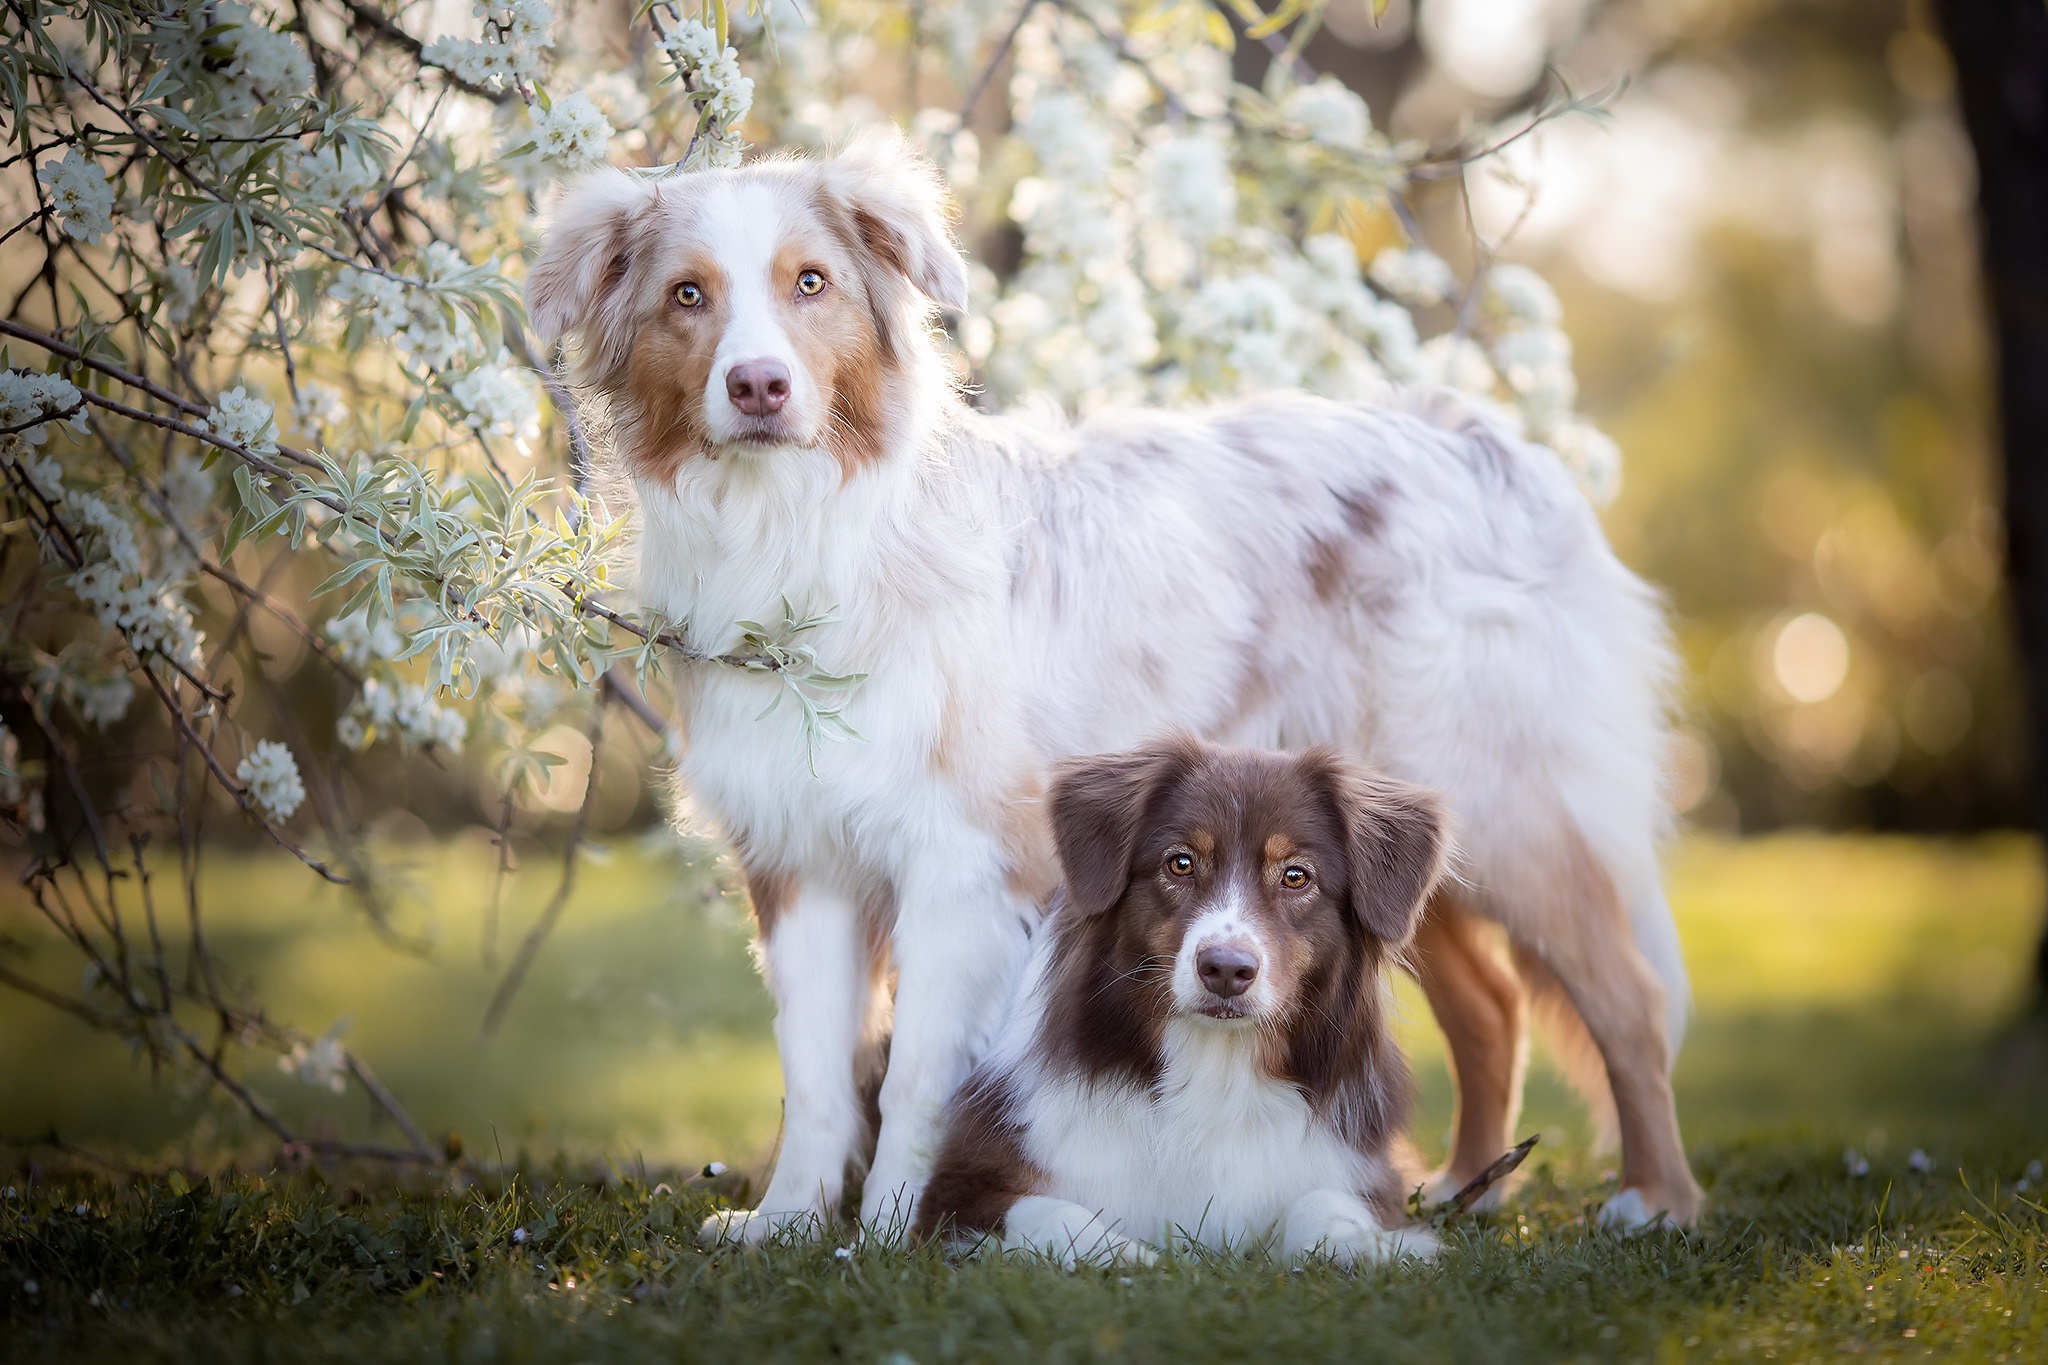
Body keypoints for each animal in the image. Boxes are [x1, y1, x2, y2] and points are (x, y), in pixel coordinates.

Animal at [524, 136, 1695, 1236]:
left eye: (810, 282)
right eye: (688, 296)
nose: (759, 385)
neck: (803, 532)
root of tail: (1487, 439)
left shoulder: (963, 867)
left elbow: (915, 1084)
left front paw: (900, 1231)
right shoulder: (800, 859)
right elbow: (815, 1075)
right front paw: (789, 1225)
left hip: (1506, 809)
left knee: (1627, 1003)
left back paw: (1657, 1201)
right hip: (1390, 841)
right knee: (1491, 1006)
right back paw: (1462, 1188)